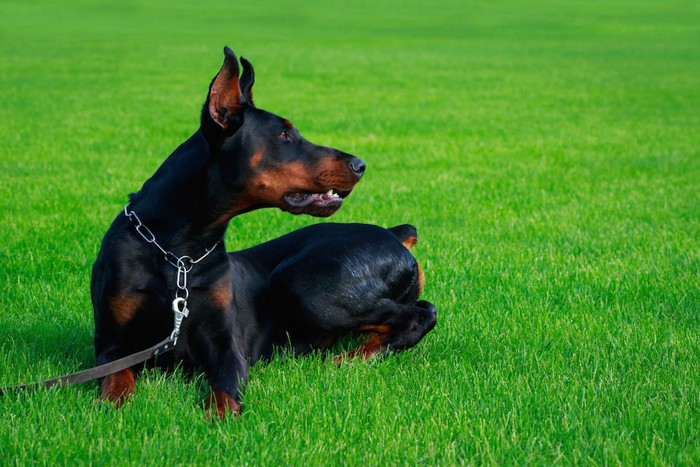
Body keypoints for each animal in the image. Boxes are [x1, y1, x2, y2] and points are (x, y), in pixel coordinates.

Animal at [91, 46, 366, 416]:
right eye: (284, 134)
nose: (360, 165)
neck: (179, 254)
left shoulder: (226, 343)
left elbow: (225, 386)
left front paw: (218, 415)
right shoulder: (113, 344)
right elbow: (116, 377)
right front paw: (111, 405)